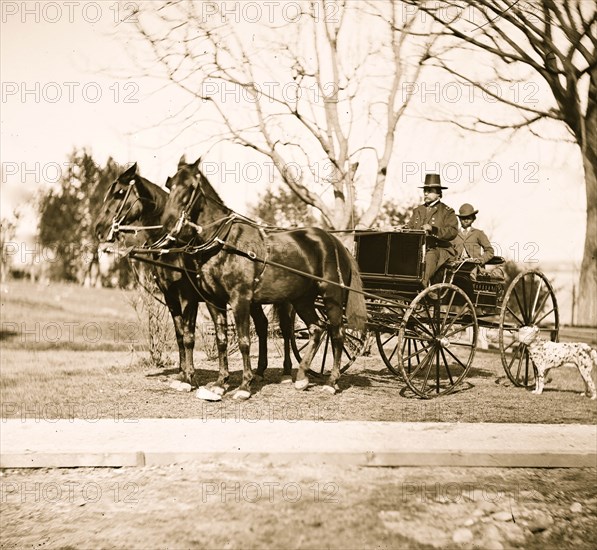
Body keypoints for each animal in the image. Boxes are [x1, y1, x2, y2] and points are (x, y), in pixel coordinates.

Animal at [93, 164, 286, 388]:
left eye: (119, 193)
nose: (99, 229)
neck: (173, 247)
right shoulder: (170, 296)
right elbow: (179, 335)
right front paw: (182, 371)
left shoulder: (188, 296)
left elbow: (189, 336)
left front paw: (189, 376)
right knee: (263, 325)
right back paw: (261, 370)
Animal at [158, 155, 368, 402]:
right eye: (169, 184)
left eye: (190, 186)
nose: (168, 223)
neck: (223, 242)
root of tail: (335, 242)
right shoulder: (213, 301)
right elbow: (221, 340)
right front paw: (220, 383)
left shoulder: (239, 299)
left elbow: (243, 341)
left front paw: (244, 386)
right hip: (302, 299)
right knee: (317, 329)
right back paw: (301, 377)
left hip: (331, 296)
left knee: (337, 333)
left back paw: (332, 382)